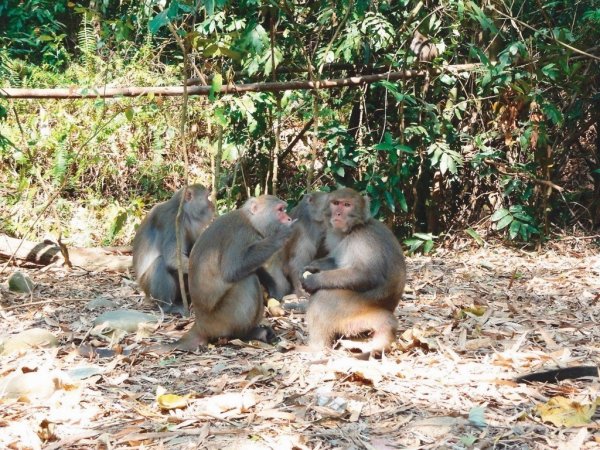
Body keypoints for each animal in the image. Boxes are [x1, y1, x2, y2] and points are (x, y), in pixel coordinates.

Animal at [133, 185, 213, 314]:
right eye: (207, 197)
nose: (212, 205)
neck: (183, 211)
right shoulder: (173, 223)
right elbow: (173, 258)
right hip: (148, 288)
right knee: (160, 263)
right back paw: (168, 306)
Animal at [173, 195, 292, 350]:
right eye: (280, 210)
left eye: (284, 209)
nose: (289, 218)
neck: (250, 222)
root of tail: (200, 324)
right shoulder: (241, 236)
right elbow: (232, 270)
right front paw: (280, 237)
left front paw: (270, 283)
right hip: (222, 319)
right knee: (247, 280)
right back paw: (245, 334)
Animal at [300, 187, 408, 356]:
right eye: (336, 203)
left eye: (347, 205)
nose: (338, 213)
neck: (352, 229)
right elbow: (335, 261)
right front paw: (313, 267)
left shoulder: (363, 240)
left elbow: (366, 274)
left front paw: (313, 280)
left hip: (351, 312)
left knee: (322, 298)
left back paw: (316, 348)